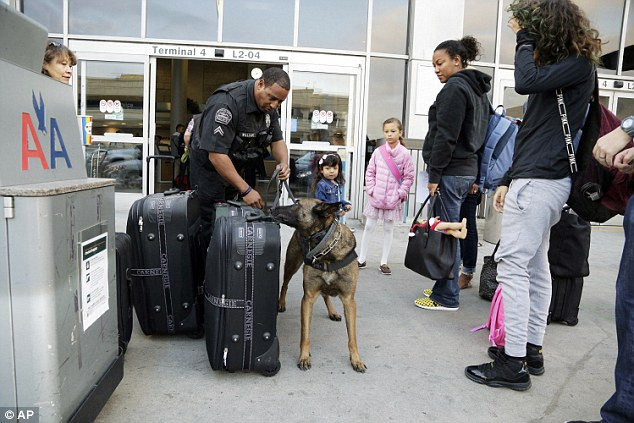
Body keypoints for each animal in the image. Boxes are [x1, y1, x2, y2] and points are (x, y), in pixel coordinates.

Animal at [270, 200, 362, 372]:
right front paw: (304, 357)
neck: (326, 250)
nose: (272, 208)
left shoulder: (349, 300)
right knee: (285, 284)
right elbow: (305, 334)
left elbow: (352, 337)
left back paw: (332, 312)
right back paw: (281, 303)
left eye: (296, 204)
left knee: (325, 294)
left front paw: (356, 359)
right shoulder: (308, 298)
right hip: (291, 264)